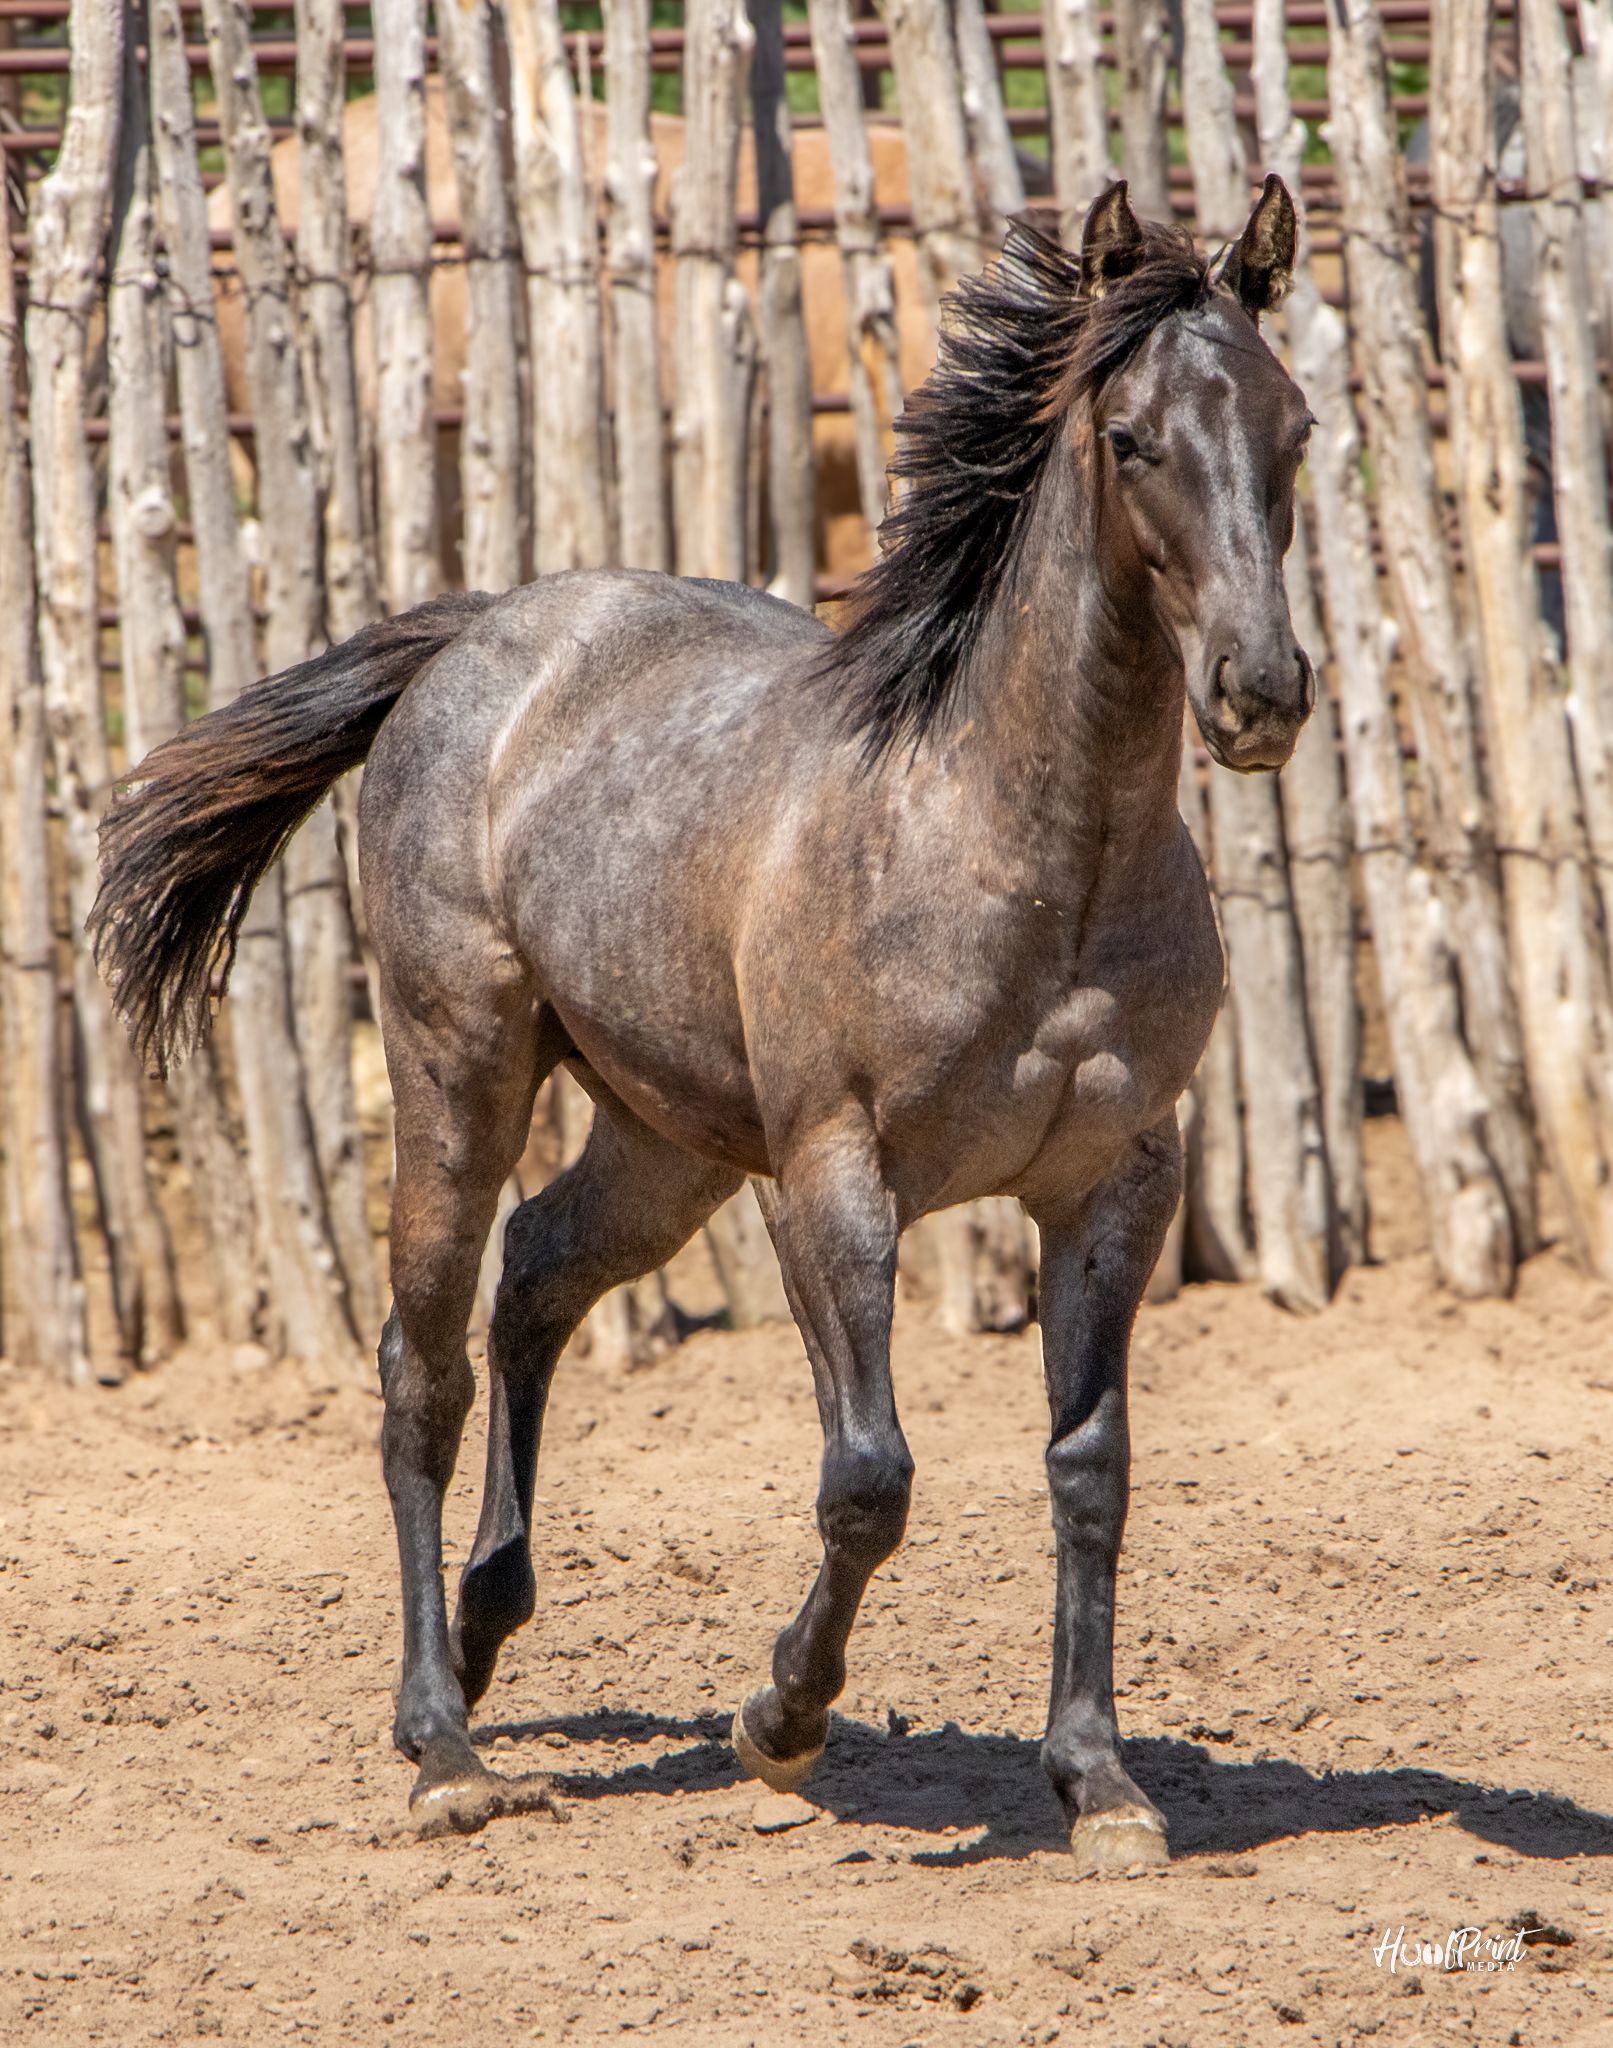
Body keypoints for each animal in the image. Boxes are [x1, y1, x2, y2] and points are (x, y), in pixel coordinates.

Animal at [91, 176, 1314, 1871]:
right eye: (1130, 440)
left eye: (1296, 428)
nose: (1262, 692)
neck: (1019, 846)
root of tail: (485, 633)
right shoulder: (831, 1179)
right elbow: (868, 1477)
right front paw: (779, 1716)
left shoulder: (1116, 1184)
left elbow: (1090, 1469)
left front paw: (1100, 1785)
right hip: (462, 1067)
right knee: (423, 1362)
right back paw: (442, 1744)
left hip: (663, 1141)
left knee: (538, 1272)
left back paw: (486, 1624)